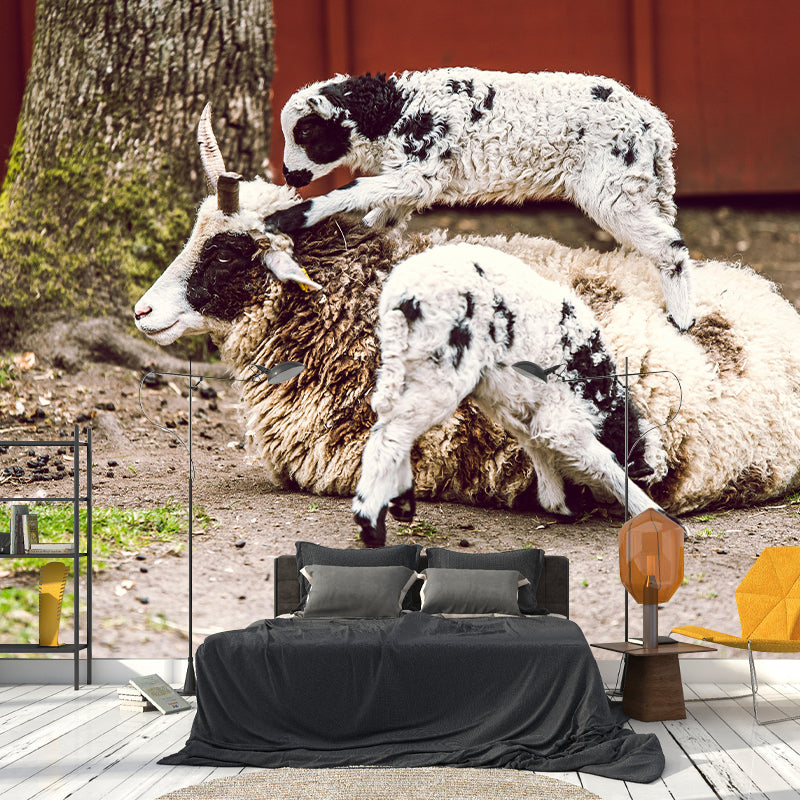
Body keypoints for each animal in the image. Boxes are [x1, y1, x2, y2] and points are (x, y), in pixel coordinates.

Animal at [266, 68, 696, 331]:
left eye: (305, 132)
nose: (288, 175)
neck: (395, 111)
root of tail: (655, 126)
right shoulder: (411, 180)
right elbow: (380, 219)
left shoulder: (420, 171)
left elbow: (352, 190)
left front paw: (287, 218)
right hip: (642, 186)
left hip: (612, 188)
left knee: (670, 246)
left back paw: (683, 320)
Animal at [351, 241, 663, 547]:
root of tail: (402, 297)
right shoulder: (562, 418)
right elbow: (602, 461)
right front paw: (651, 511)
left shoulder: (515, 409)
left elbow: (536, 445)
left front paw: (555, 503)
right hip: (439, 371)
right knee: (394, 432)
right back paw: (370, 524)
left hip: (406, 366)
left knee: (391, 423)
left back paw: (398, 505)